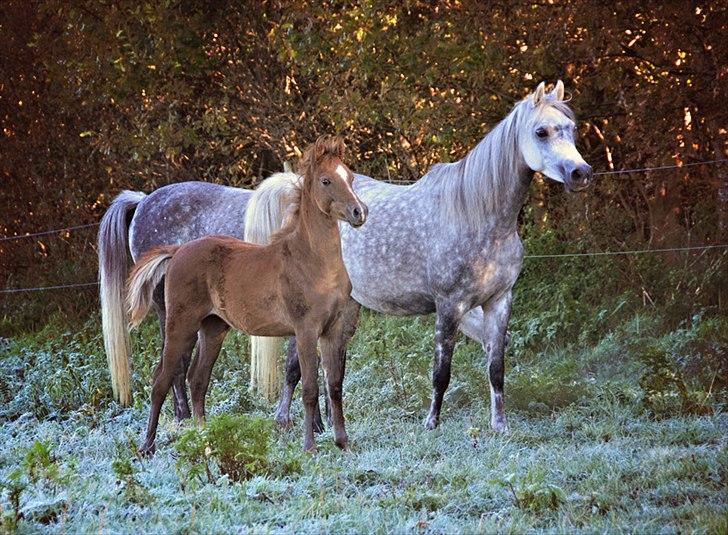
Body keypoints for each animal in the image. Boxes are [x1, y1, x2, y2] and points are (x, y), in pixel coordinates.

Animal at [125, 136, 366, 454]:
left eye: (350, 177)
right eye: (326, 180)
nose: (359, 212)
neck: (312, 260)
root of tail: (177, 251)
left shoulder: (332, 330)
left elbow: (335, 386)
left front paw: (343, 444)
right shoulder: (305, 330)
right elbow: (310, 388)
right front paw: (310, 447)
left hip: (213, 328)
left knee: (197, 380)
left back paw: (207, 443)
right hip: (180, 326)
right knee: (162, 379)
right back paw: (148, 447)